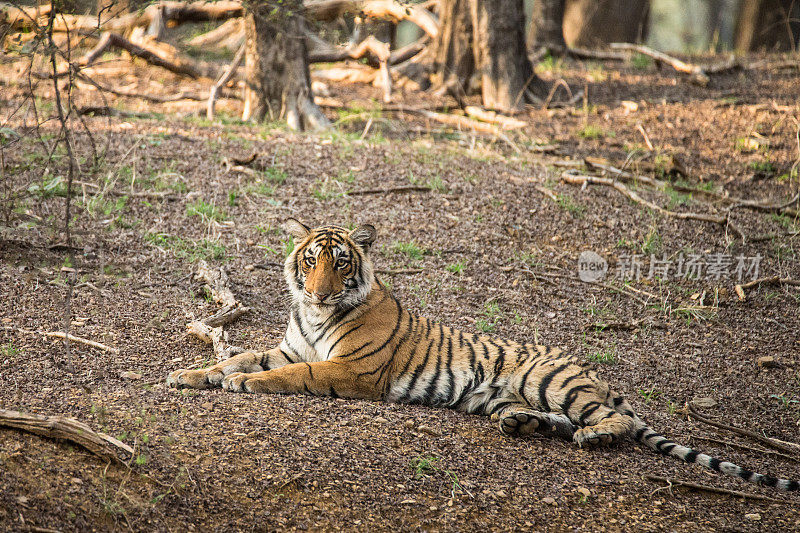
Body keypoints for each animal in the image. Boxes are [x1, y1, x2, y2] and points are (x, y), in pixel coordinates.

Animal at [167, 217, 800, 490]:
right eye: (309, 260)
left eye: (340, 262)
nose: (319, 291)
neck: (317, 316)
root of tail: (595, 374)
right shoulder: (285, 345)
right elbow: (238, 357)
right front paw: (188, 375)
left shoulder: (349, 369)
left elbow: (294, 375)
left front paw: (244, 386)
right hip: (512, 396)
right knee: (555, 419)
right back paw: (524, 424)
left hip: (554, 379)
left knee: (615, 419)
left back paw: (592, 436)